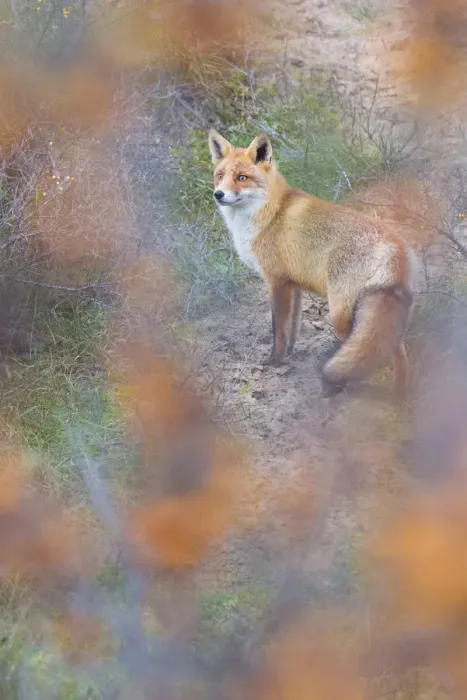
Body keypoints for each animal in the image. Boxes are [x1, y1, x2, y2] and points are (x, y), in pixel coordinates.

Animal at [208, 129, 417, 397]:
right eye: (220, 176)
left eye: (242, 178)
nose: (219, 194)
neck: (268, 213)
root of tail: (395, 245)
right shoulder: (293, 284)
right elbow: (293, 328)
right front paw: (289, 356)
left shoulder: (276, 281)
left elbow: (278, 329)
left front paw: (275, 362)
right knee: (398, 351)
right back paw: (398, 394)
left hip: (340, 314)